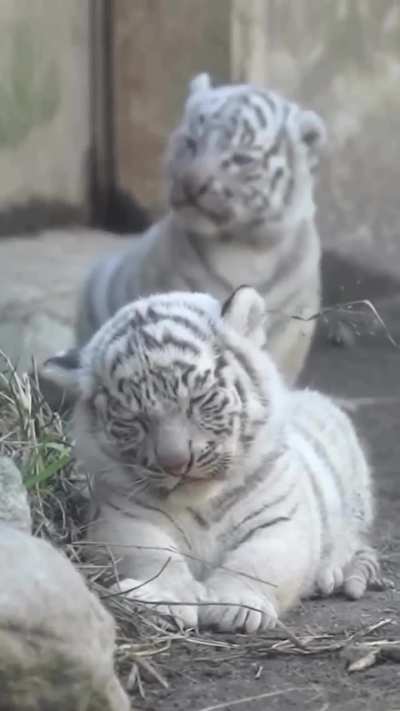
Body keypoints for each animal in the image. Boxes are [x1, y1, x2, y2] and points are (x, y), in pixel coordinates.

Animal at [43, 286, 382, 633]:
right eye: (134, 420)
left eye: (198, 401)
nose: (176, 463)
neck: (201, 503)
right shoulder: (123, 518)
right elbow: (154, 556)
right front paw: (161, 599)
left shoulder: (281, 519)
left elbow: (258, 561)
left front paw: (235, 605)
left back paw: (330, 573)